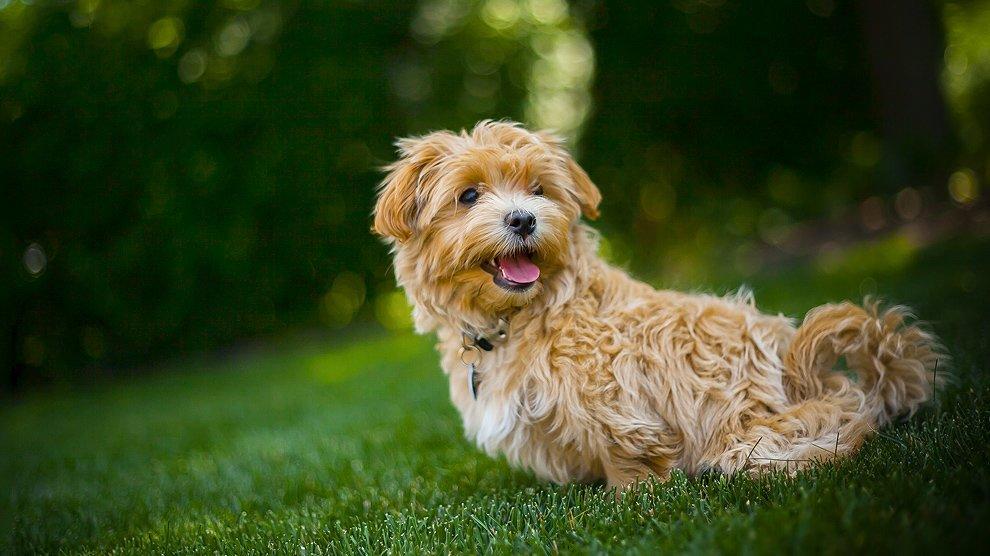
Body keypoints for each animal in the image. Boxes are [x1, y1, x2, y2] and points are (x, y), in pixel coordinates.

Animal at [374, 120, 944, 486]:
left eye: (538, 189)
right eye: (468, 195)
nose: (523, 218)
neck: (526, 315)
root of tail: (800, 367)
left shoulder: (614, 398)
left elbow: (628, 453)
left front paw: (630, 495)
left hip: (753, 435)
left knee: (841, 428)